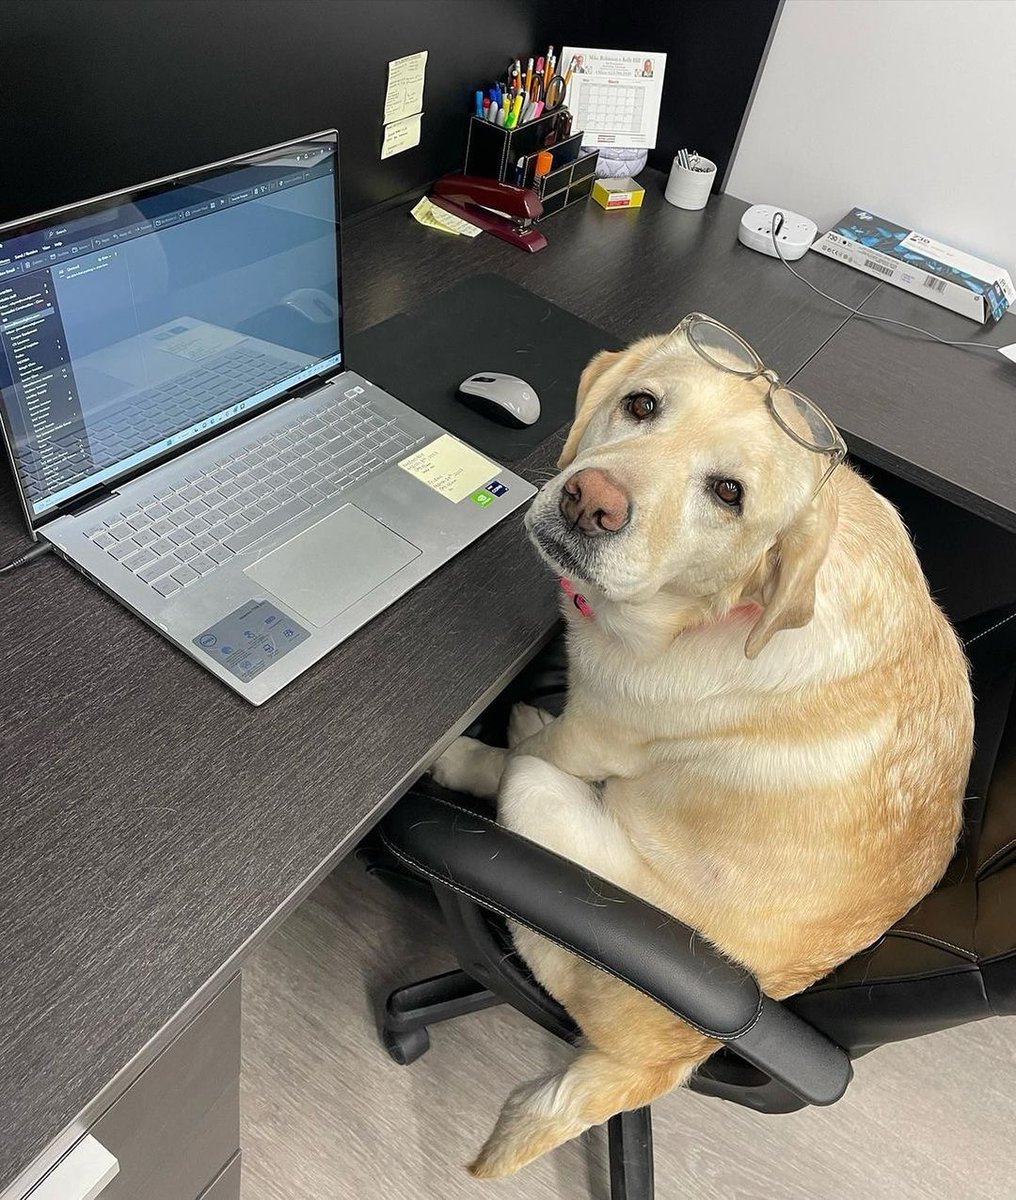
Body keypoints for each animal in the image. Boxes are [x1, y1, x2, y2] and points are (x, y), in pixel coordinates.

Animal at [434, 314, 974, 1176]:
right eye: (641, 405)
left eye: (729, 494)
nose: (590, 502)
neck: (713, 611)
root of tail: (654, 1064)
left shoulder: (589, 737)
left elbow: (524, 752)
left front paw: (460, 753)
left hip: (545, 811)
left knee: (521, 770)